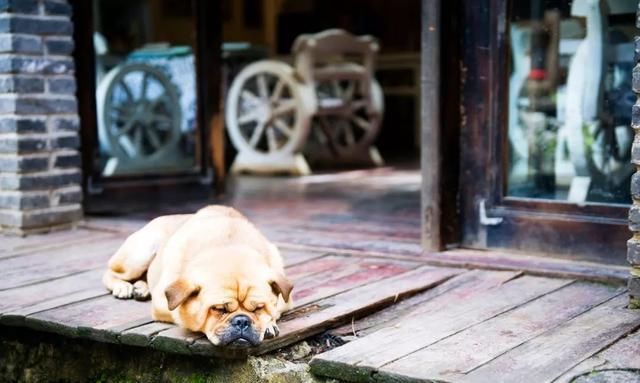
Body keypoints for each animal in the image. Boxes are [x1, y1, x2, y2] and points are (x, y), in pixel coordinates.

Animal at [102, 207, 292, 348]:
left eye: (259, 308)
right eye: (219, 309)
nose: (242, 321)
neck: (227, 246)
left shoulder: (285, 300)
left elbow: (275, 310)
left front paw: (268, 323)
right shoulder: (163, 303)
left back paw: (141, 288)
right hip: (140, 254)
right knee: (110, 273)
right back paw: (123, 287)